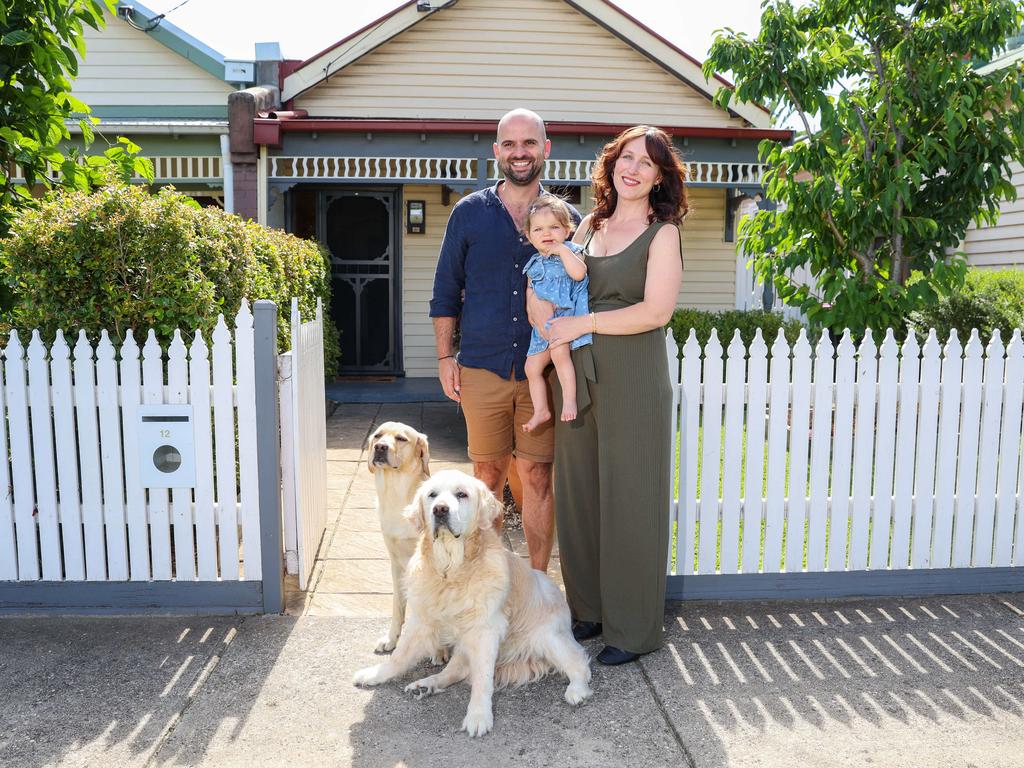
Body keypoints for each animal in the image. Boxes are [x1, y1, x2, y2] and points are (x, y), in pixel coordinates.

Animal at [352, 468, 593, 741]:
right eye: (432, 495)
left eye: (462, 494)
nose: (440, 510)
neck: (451, 569)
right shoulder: (422, 620)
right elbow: (399, 656)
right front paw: (376, 674)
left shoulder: (485, 631)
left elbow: (482, 678)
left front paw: (478, 716)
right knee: (454, 672)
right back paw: (426, 685)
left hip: (547, 637)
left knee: (578, 661)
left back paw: (578, 690)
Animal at [366, 421, 430, 655]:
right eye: (378, 436)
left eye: (401, 439)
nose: (380, 447)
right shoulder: (396, 565)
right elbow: (398, 607)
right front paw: (391, 638)